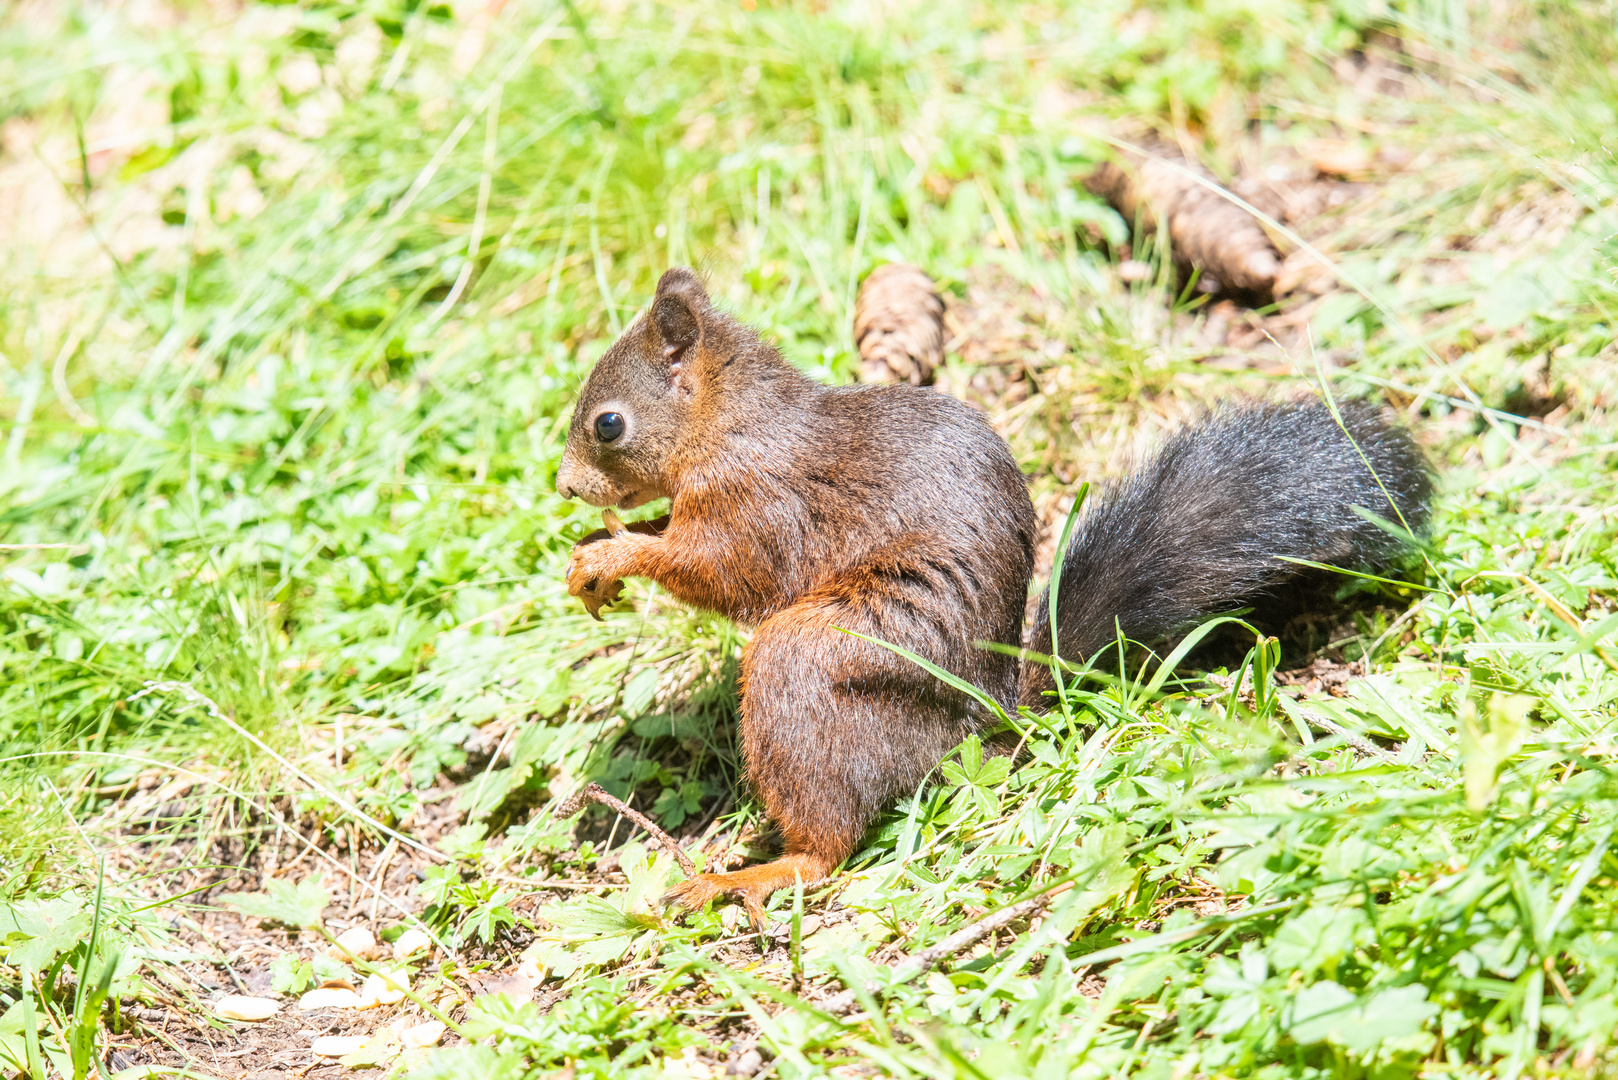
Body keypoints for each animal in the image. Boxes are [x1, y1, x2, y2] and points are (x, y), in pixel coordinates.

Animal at [553, 268, 1430, 919]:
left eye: (607, 423)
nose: (564, 487)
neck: (728, 420)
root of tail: (994, 720)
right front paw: (598, 550)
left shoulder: (759, 501)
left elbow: (721, 569)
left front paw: (619, 554)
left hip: (809, 666)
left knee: (827, 845)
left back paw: (753, 874)